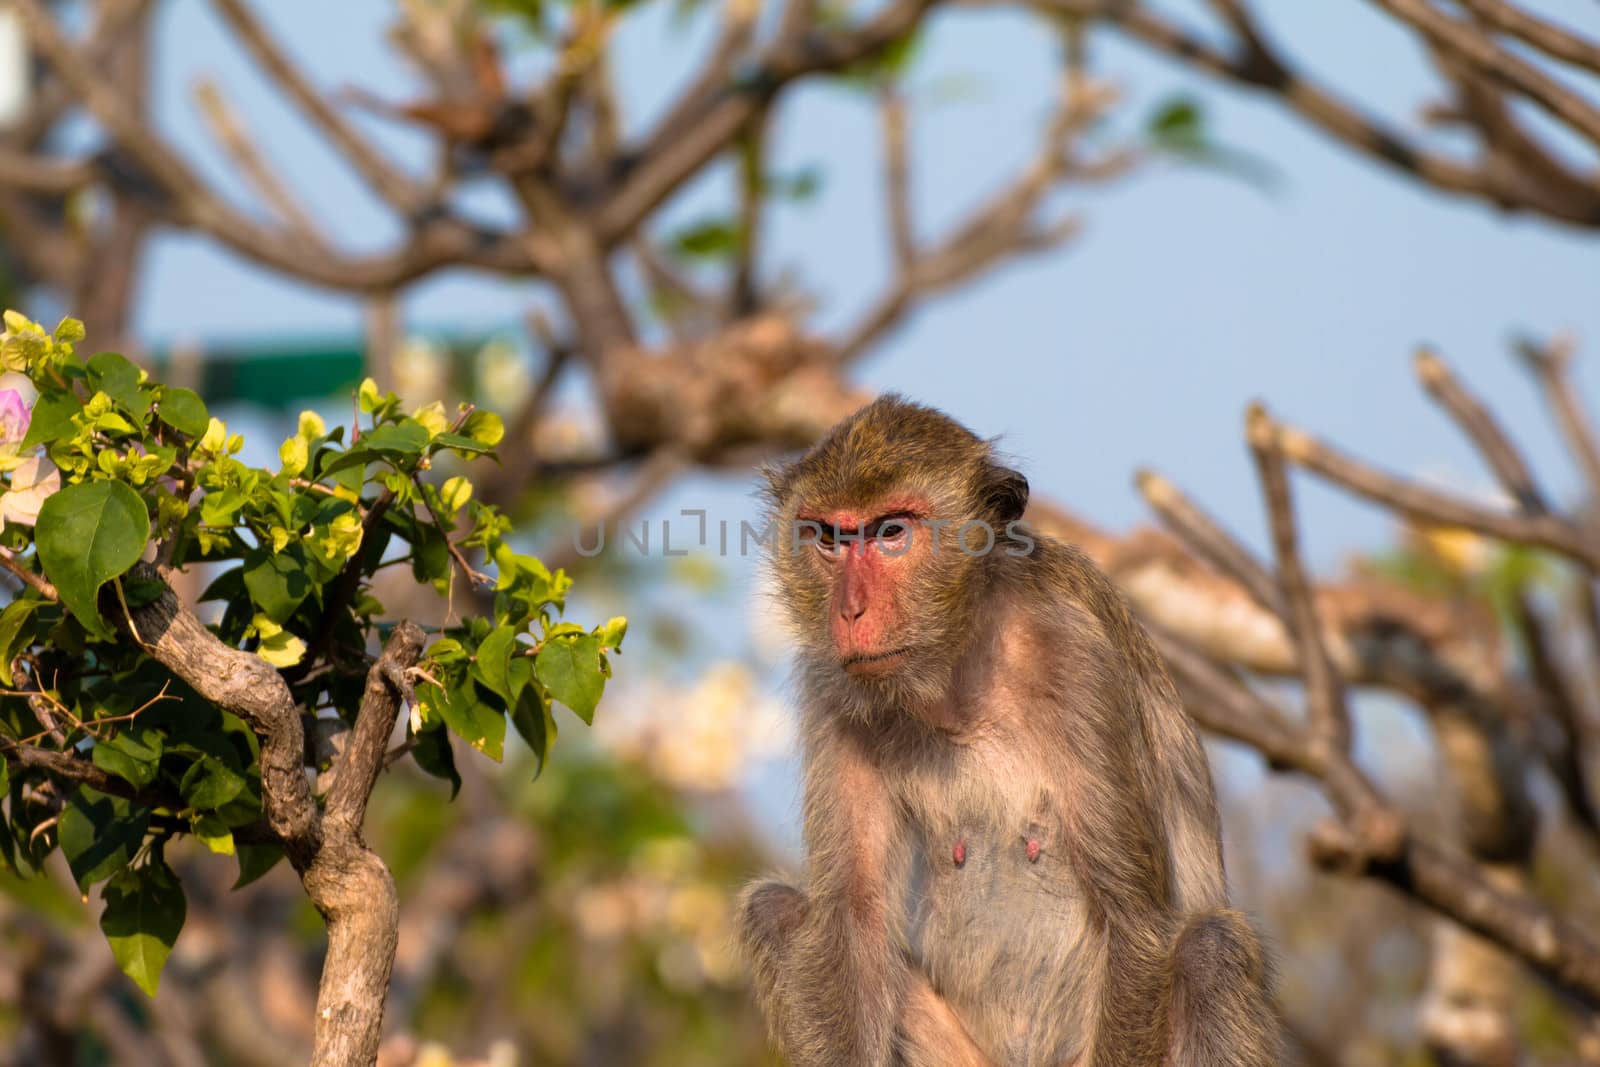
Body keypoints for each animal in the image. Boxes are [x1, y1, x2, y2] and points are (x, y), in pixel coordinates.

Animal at [732, 396, 1273, 1062]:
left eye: (891, 532)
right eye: (829, 537)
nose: (850, 612)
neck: (962, 664)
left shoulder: (1076, 656)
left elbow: (1132, 921)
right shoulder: (835, 689)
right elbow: (850, 926)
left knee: (1209, 945)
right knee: (776, 910)